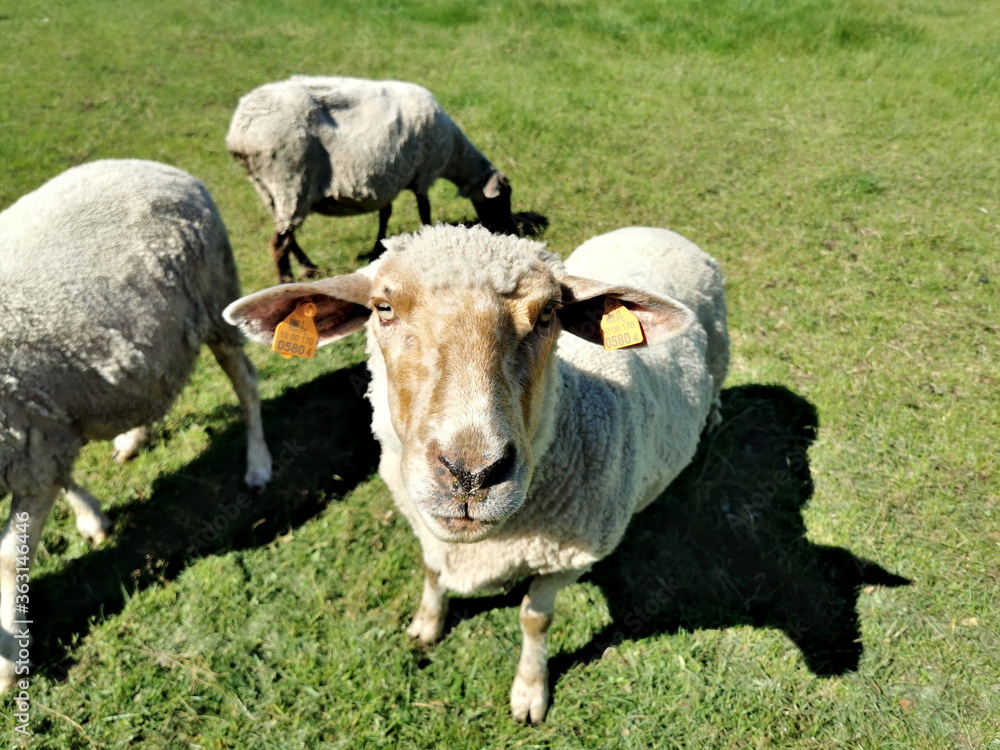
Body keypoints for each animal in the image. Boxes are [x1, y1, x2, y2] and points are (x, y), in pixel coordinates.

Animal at [0, 159, 274, 692]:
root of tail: (163, 168)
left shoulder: (30, 441)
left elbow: (7, 557)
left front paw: (6, 659)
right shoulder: (44, 427)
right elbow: (64, 478)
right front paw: (91, 516)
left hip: (215, 300)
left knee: (247, 384)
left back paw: (258, 464)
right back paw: (133, 438)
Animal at [223, 222, 732, 724]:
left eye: (548, 314)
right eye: (383, 308)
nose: (470, 474)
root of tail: (658, 229)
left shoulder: (569, 559)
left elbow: (535, 619)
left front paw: (529, 690)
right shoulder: (425, 527)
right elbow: (431, 572)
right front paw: (426, 626)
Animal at [226, 76, 516, 284]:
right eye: (502, 199)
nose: (512, 231)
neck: (455, 154)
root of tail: (239, 134)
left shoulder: (388, 181)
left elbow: (385, 214)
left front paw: (378, 246)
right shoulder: (423, 173)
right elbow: (424, 210)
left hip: (269, 188)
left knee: (287, 233)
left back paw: (308, 267)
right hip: (290, 178)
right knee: (278, 241)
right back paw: (286, 278)